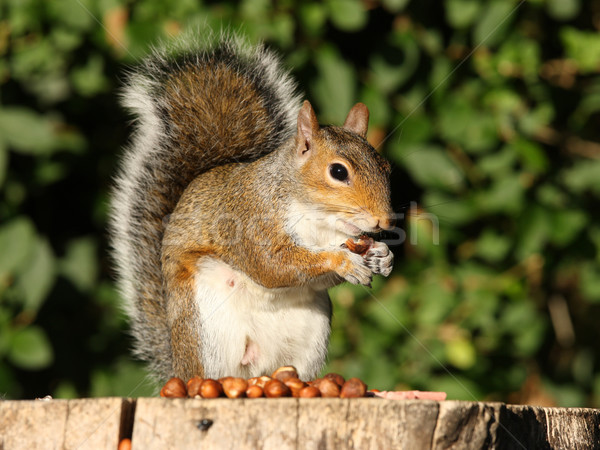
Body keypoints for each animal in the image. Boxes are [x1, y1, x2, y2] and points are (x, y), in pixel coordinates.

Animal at [110, 34, 396, 384]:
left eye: (386, 167)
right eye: (338, 171)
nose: (385, 220)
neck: (320, 224)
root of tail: (179, 367)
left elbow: (313, 278)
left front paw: (382, 256)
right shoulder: (249, 219)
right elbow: (271, 265)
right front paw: (343, 260)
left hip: (309, 334)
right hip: (206, 329)